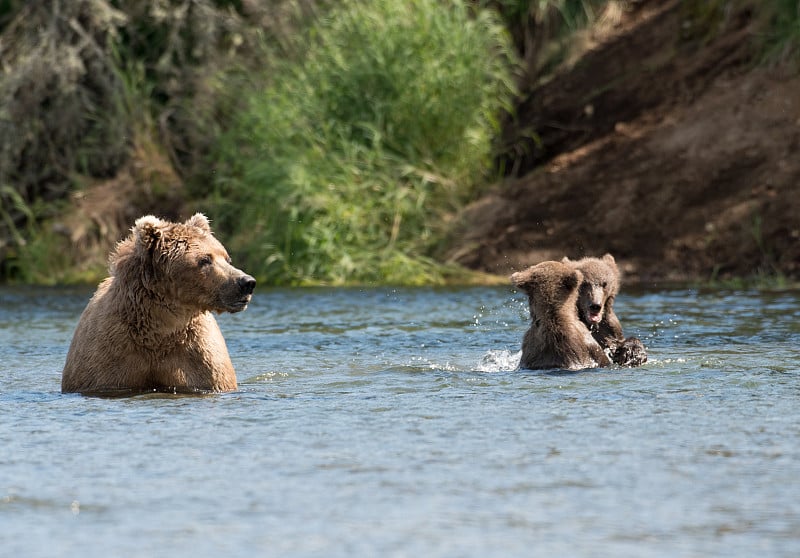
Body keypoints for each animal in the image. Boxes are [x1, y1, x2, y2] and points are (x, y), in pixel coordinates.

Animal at [63, 214, 256, 398]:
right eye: (205, 259)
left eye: (227, 258)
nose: (247, 282)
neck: (162, 328)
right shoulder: (110, 357)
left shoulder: (197, 356)